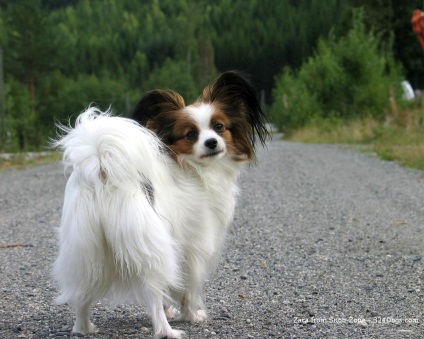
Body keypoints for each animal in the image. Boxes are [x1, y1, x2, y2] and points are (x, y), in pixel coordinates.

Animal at [53, 70, 270, 338]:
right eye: (191, 134)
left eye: (219, 127)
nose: (211, 142)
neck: (192, 167)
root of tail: (103, 170)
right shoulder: (193, 248)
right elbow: (188, 288)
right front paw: (191, 316)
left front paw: (174, 311)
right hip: (150, 248)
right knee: (153, 295)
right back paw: (168, 331)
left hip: (87, 250)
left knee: (82, 295)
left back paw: (84, 328)